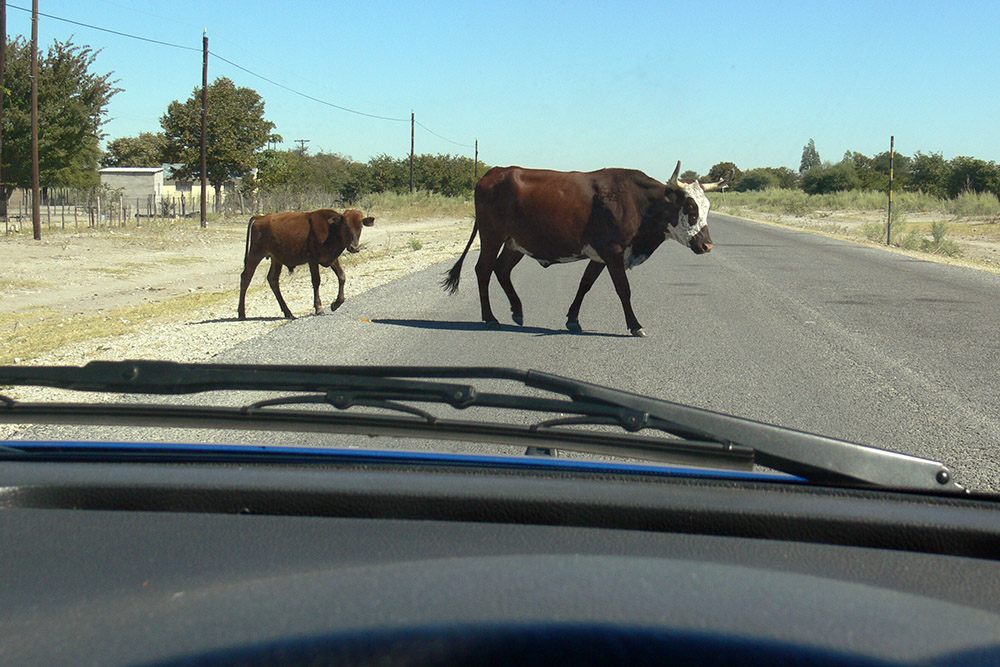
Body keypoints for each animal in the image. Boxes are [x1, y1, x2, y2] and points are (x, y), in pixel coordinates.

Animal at [238, 208, 375, 320]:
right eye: (345, 226)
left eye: (360, 227)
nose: (353, 248)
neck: (330, 229)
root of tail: (260, 218)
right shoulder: (312, 260)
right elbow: (316, 281)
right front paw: (319, 308)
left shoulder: (333, 259)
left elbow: (342, 276)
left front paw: (335, 304)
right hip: (255, 254)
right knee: (246, 278)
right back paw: (241, 314)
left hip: (276, 259)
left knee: (273, 279)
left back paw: (288, 313)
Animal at [442, 161, 727, 337]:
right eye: (690, 208)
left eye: (707, 207)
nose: (707, 245)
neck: (637, 202)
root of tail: (495, 172)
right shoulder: (613, 252)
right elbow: (623, 290)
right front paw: (635, 325)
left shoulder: (600, 255)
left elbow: (585, 284)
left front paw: (573, 319)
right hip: (492, 235)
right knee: (483, 270)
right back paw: (490, 318)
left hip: (515, 243)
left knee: (501, 270)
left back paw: (517, 310)